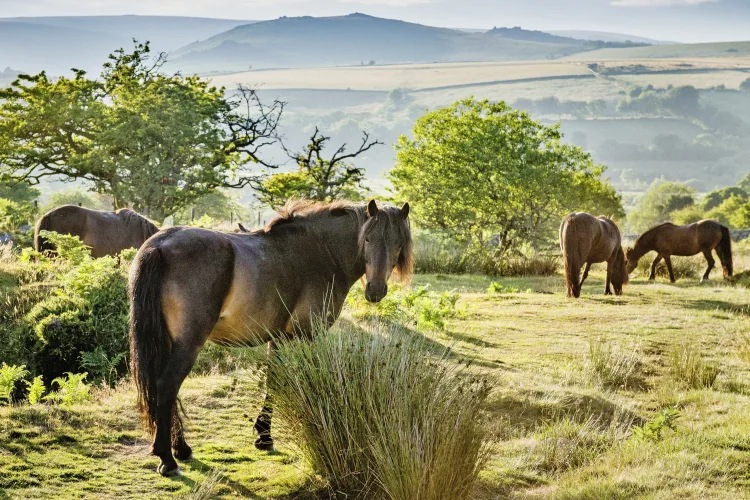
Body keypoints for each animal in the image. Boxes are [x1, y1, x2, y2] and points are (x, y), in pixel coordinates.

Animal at [128, 198, 412, 476]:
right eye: (367, 239)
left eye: (397, 244)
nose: (375, 290)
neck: (321, 252)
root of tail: (160, 246)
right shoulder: (309, 335)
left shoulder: (279, 337)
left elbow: (273, 381)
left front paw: (264, 435)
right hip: (188, 344)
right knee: (167, 386)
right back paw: (168, 458)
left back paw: (181, 449)